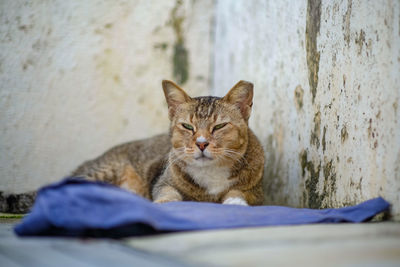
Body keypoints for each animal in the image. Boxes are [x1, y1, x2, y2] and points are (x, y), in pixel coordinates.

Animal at [0, 79, 266, 214]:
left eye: (219, 126)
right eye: (187, 127)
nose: (201, 143)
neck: (211, 173)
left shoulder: (257, 191)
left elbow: (239, 192)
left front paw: (234, 201)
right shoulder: (162, 181)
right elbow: (168, 193)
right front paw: (165, 204)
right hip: (101, 172)